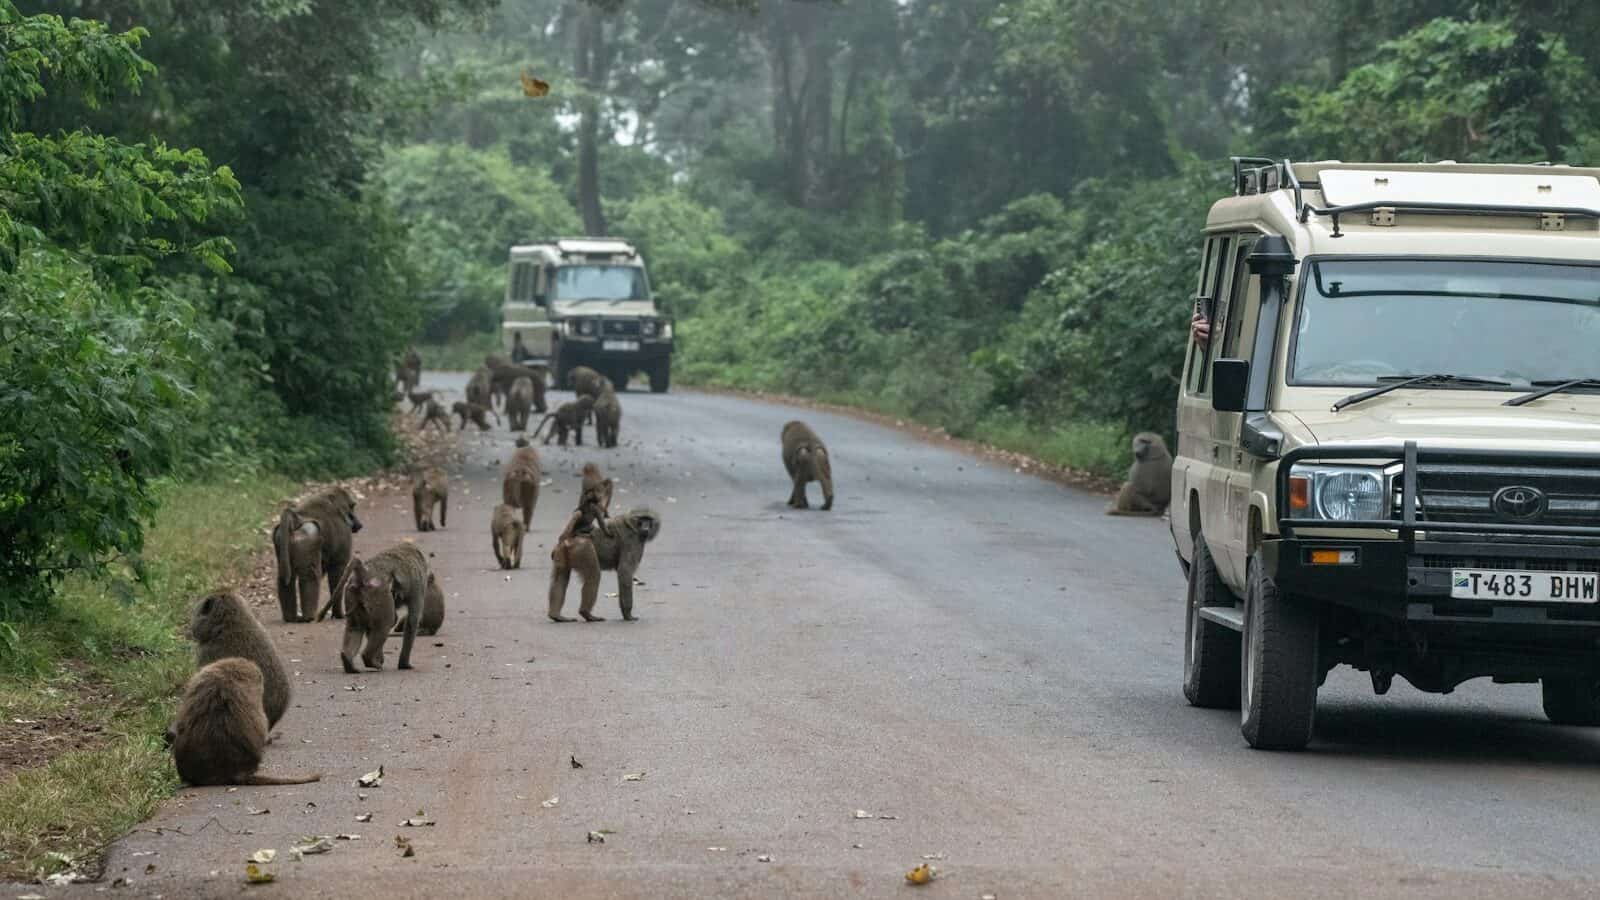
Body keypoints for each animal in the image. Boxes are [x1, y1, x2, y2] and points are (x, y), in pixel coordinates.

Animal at [273, 486, 362, 619]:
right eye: (352, 506)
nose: (359, 524)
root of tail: (295, 518)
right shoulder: (344, 532)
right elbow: (338, 574)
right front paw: (338, 614)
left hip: (280, 539)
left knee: (285, 577)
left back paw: (291, 618)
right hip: (307, 535)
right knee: (309, 575)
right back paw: (309, 617)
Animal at [318, 542, 428, 673]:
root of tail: (364, 572)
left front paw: (381, 658)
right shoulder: (418, 586)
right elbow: (412, 621)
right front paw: (404, 665)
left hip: (352, 592)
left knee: (355, 626)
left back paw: (349, 662)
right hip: (377, 592)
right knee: (386, 624)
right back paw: (369, 659)